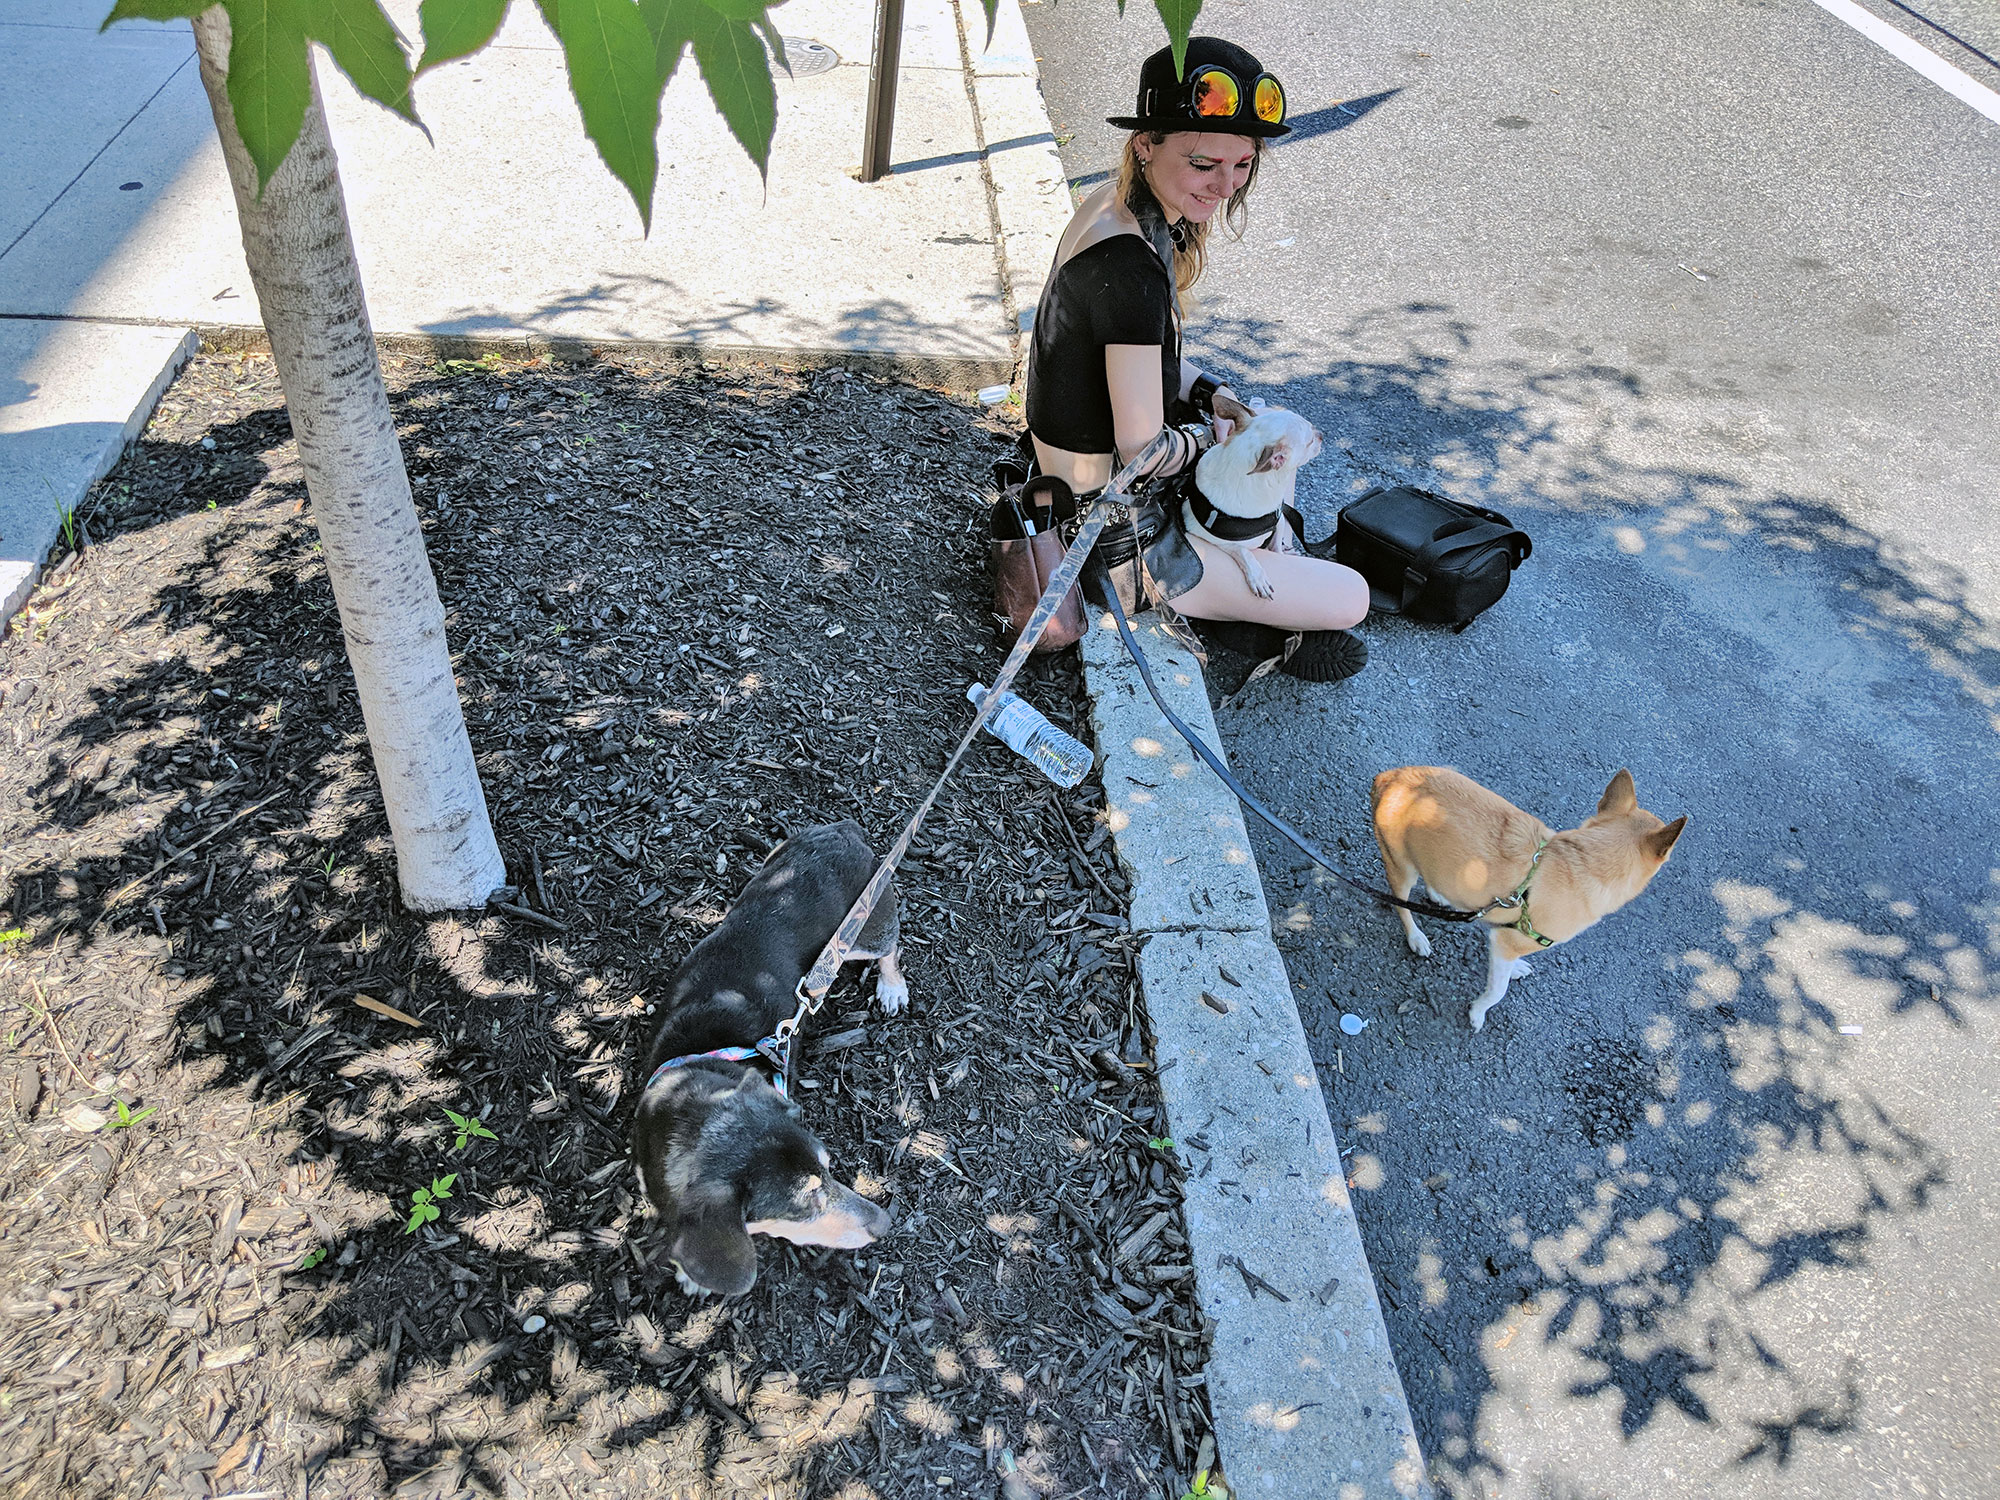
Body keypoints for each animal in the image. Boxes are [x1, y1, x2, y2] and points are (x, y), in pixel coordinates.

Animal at [632, 816, 900, 1296]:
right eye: (805, 1202)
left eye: (830, 1168)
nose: (885, 1224)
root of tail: (845, 831)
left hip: (868, 930)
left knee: (892, 948)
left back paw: (892, 987)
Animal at [1368, 776, 1680, 1032]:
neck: (1583, 860)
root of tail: (1390, 777)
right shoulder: (1507, 943)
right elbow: (1497, 991)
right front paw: (1478, 1012)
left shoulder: (1504, 929)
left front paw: (1516, 969)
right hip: (1402, 868)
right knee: (1402, 904)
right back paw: (1416, 937)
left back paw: (1441, 896)